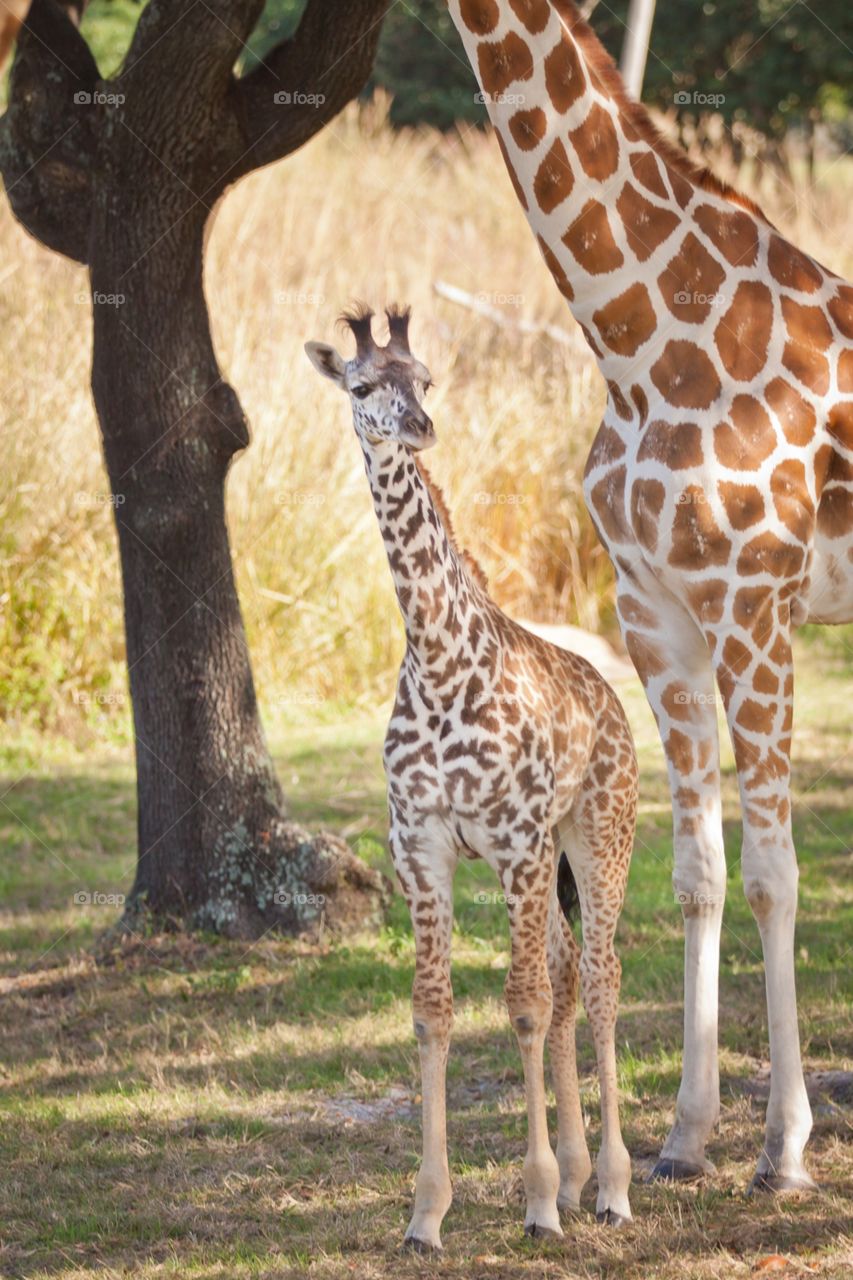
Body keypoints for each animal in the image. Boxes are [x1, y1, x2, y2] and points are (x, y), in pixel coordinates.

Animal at [305, 305, 639, 1249]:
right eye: (360, 384)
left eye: (424, 377)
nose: (417, 427)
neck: (438, 659)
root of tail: (608, 692)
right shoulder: (421, 848)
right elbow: (432, 1012)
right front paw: (426, 1214)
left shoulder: (517, 842)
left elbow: (520, 1005)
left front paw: (536, 1202)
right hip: (541, 858)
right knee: (567, 971)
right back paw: (579, 1175)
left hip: (594, 835)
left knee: (598, 977)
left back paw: (608, 1188)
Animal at [445, 0, 853, 1193]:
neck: (634, 335)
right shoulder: (654, 611)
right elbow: (698, 873)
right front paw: (684, 1134)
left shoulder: (752, 602)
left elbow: (772, 874)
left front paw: (784, 1148)